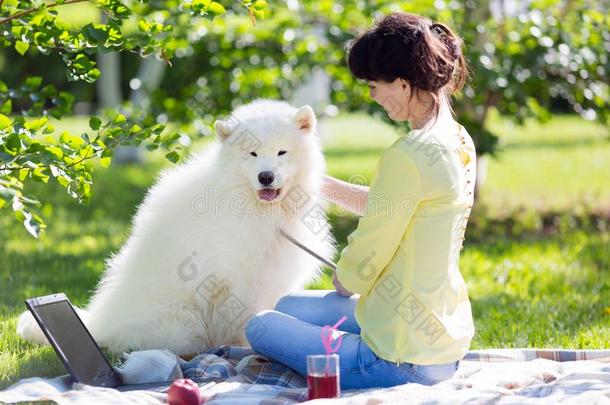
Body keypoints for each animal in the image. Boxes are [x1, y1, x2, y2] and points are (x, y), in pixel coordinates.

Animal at [17, 99, 332, 356]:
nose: (265, 177)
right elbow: (247, 318)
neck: (257, 208)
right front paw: (249, 345)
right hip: (181, 322)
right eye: (252, 154)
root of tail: (99, 327)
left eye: (282, 152)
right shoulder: (238, 279)